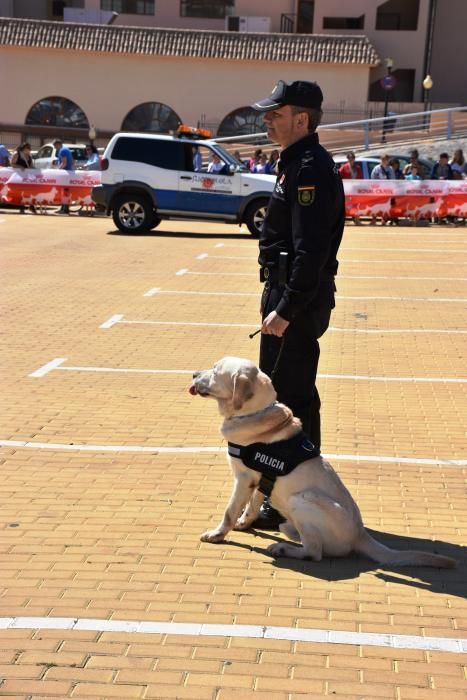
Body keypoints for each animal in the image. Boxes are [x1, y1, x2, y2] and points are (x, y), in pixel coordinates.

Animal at [190, 356, 458, 568]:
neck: (255, 414)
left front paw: (217, 534)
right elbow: (252, 505)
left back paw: (284, 548)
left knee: (315, 552)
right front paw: (245, 522)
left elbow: (229, 511)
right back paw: (289, 533)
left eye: (215, 370)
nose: (193, 374)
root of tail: (360, 534)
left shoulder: (243, 478)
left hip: (302, 500)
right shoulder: (259, 478)